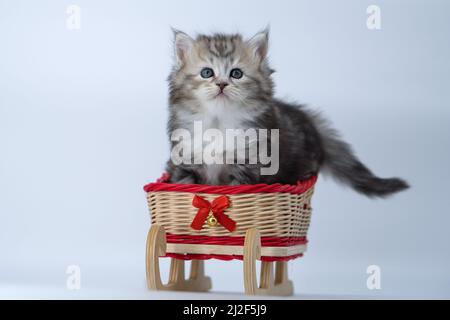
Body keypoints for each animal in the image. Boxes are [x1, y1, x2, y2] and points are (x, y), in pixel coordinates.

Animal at [164, 28, 408, 196]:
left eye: (236, 73)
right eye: (207, 72)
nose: (222, 84)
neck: (218, 121)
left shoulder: (248, 167)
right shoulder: (184, 163)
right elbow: (183, 186)